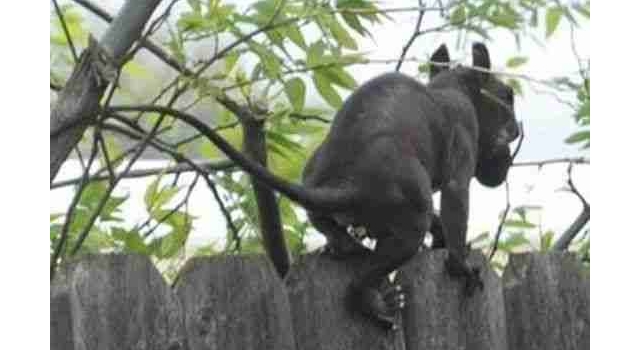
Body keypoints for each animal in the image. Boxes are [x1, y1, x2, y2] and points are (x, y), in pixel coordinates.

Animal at [182, 42, 516, 330]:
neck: (451, 85)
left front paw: (441, 239)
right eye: (508, 96)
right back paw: (378, 305)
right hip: (410, 221)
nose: (515, 126)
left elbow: (443, 220)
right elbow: (456, 210)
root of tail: (346, 184)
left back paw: (343, 250)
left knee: (346, 241)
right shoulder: (460, 163)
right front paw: (460, 265)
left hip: (325, 195)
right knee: (364, 277)